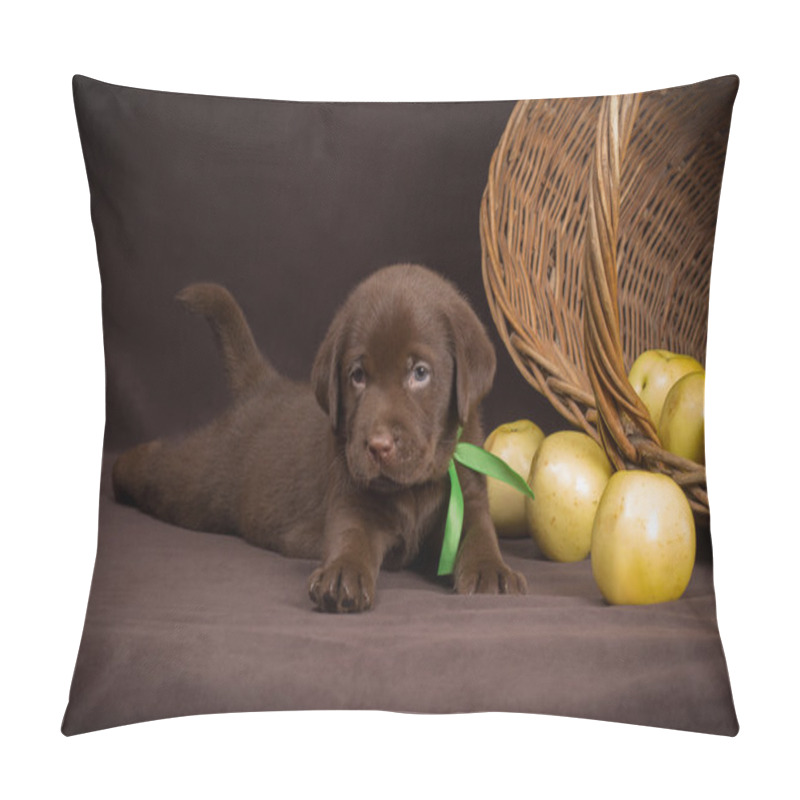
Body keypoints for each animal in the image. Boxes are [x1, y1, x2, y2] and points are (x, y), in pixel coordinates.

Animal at [111, 266, 524, 608]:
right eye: (357, 375)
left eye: (420, 373)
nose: (377, 446)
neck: (412, 488)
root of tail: (262, 385)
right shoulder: (352, 500)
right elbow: (350, 538)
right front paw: (341, 575)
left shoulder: (469, 495)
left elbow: (480, 535)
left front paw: (491, 571)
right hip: (198, 487)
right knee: (160, 465)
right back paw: (116, 472)